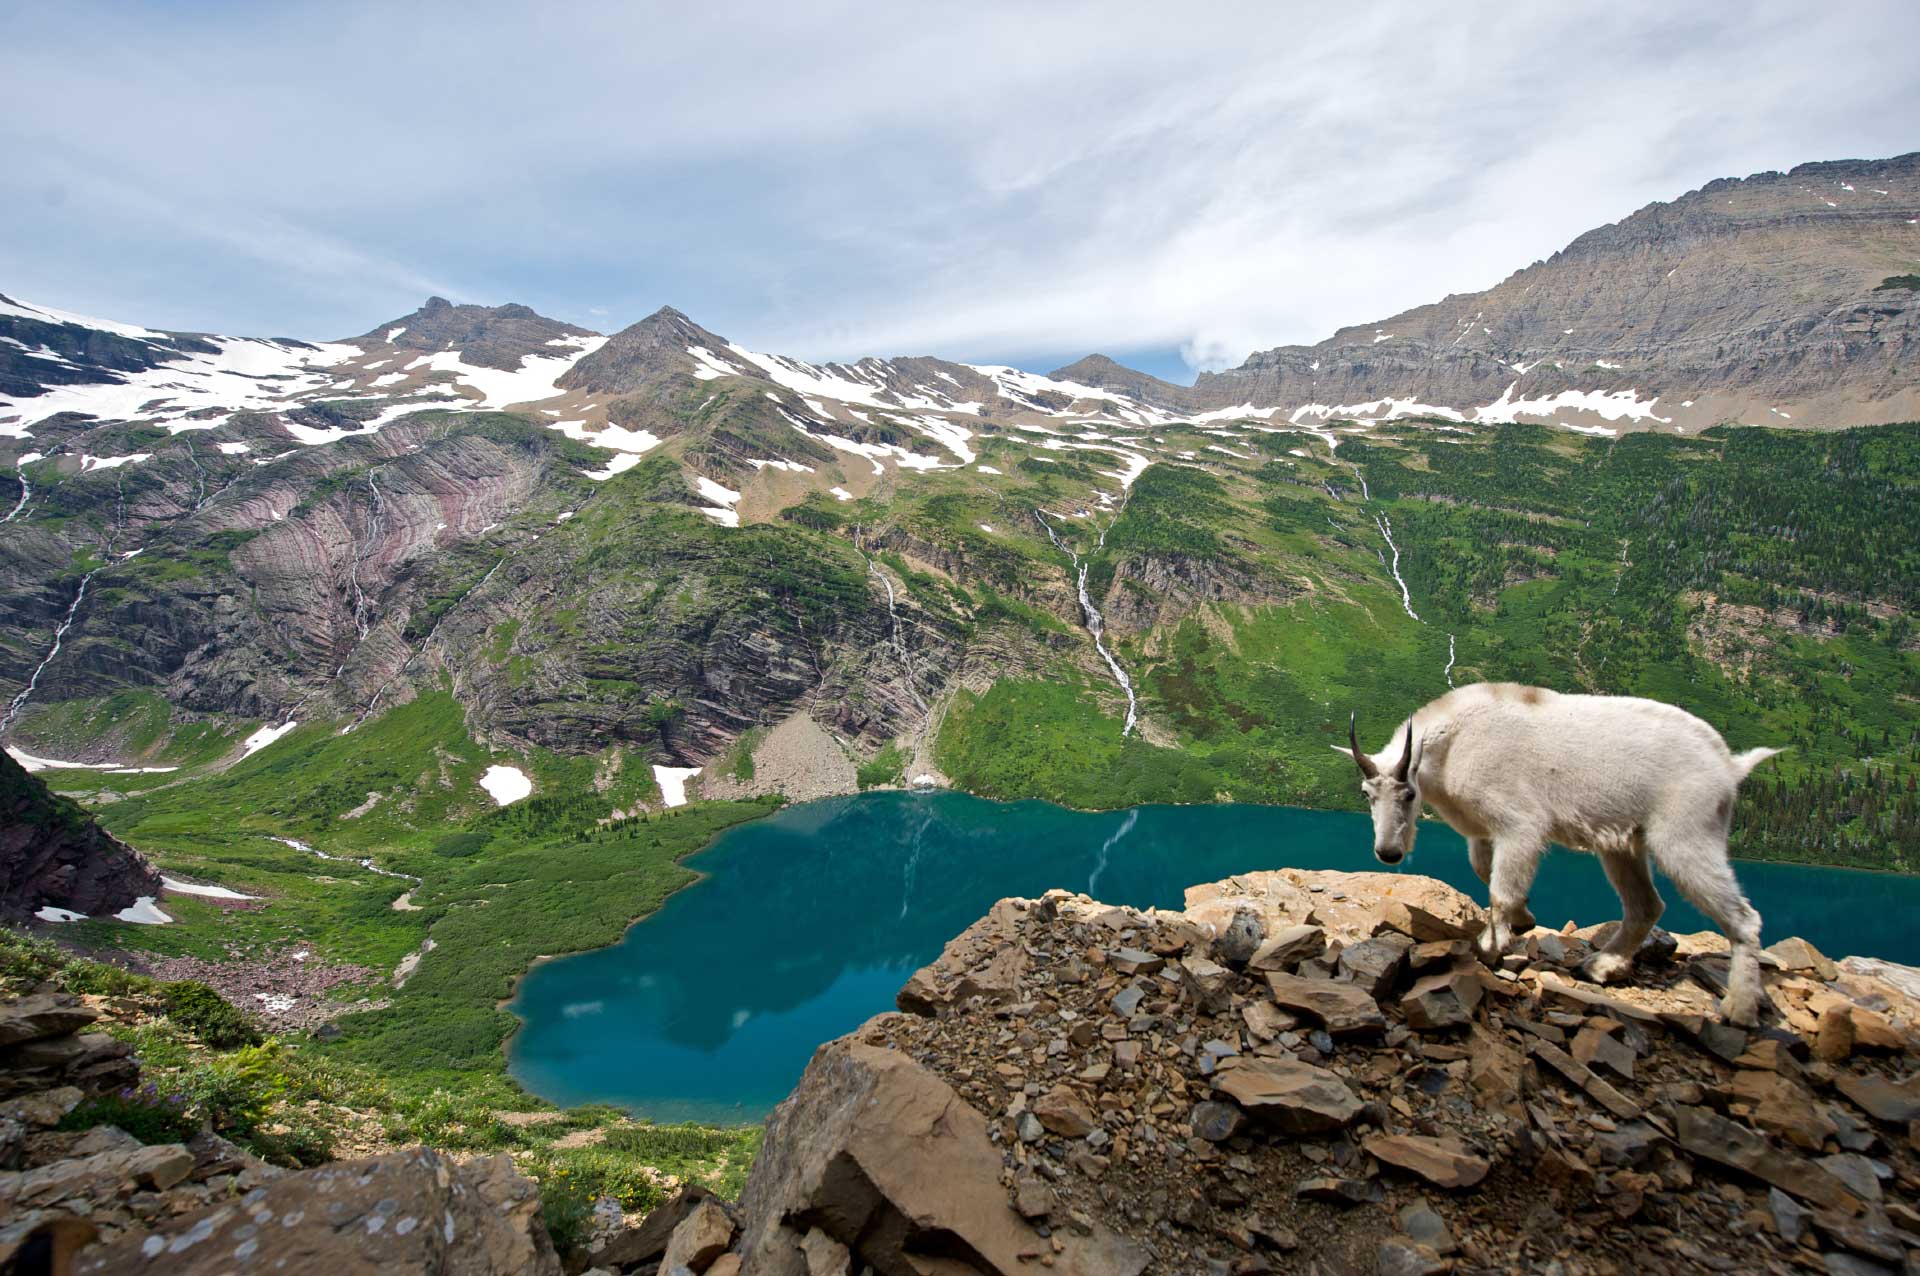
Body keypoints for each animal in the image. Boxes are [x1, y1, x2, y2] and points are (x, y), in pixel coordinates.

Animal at [1339, 682, 1782, 1025]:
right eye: (1366, 794)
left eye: (1409, 794)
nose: (1389, 853)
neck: (1451, 747)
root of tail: (1729, 767)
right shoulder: (1482, 832)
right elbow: (1483, 870)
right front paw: (1523, 921)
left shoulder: (1519, 826)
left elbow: (1500, 888)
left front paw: (1492, 947)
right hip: (1623, 845)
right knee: (1646, 905)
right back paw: (1603, 966)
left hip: (1686, 834)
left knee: (1743, 917)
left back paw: (1739, 1008)